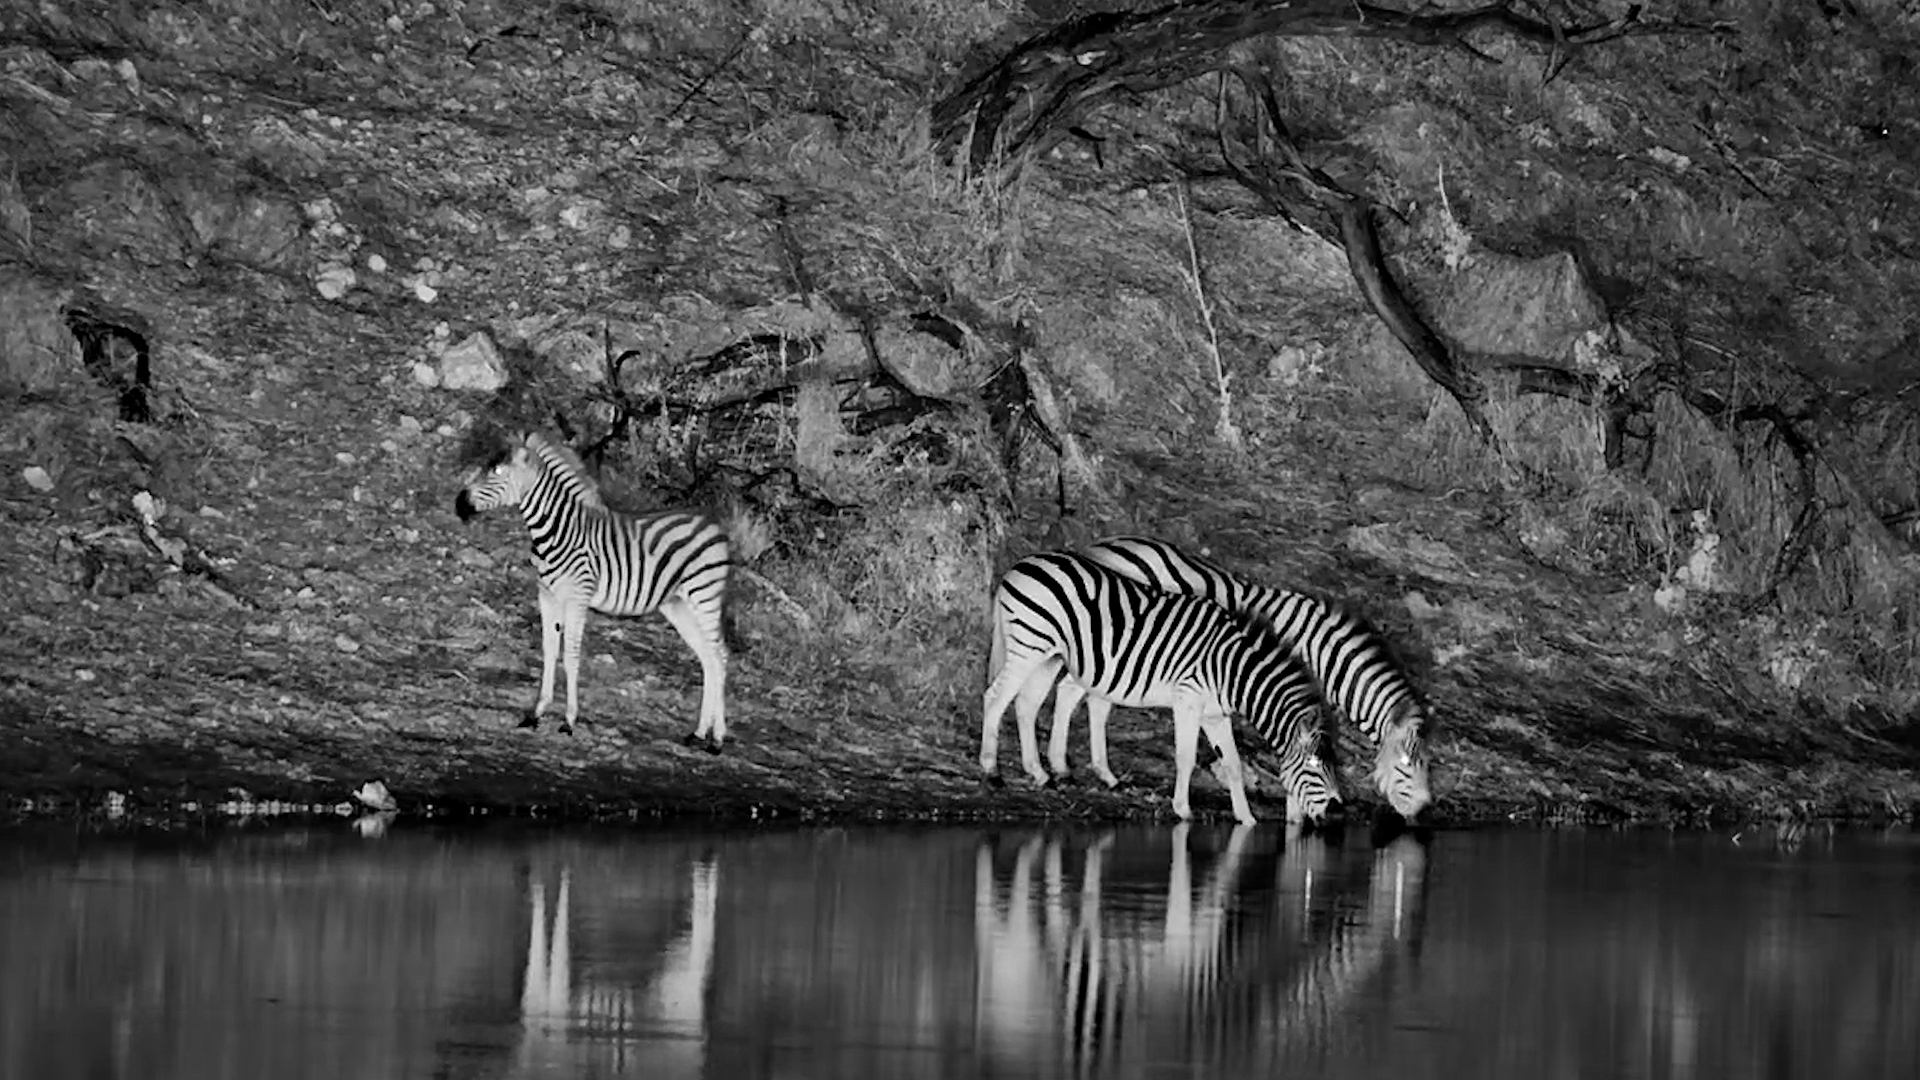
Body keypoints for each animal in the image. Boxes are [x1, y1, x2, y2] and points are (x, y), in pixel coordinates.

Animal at [453, 431, 732, 748]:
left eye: (497, 473)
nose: (459, 504)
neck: (557, 531)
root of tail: (712, 522)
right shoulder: (546, 595)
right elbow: (550, 650)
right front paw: (536, 713)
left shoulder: (577, 597)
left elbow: (571, 656)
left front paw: (569, 721)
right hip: (678, 604)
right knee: (708, 658)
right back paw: (699, 733)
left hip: (705, 596)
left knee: (720, 656)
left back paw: (717, 739)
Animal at [981, 550, 1341, 825]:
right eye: (1314, 766)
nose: (1338, 809)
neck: (1230, 668)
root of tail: (1020, 564)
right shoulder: (1188, 698)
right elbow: (1185, 757)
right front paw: (1183, 810)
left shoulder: (1215, 714)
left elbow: (1233, 764)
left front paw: (1246, 818)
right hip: (1029, 646)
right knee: (995, 698)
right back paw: (991, 771)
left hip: (1049, 655)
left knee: (1026, 705)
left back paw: (1041, 774)